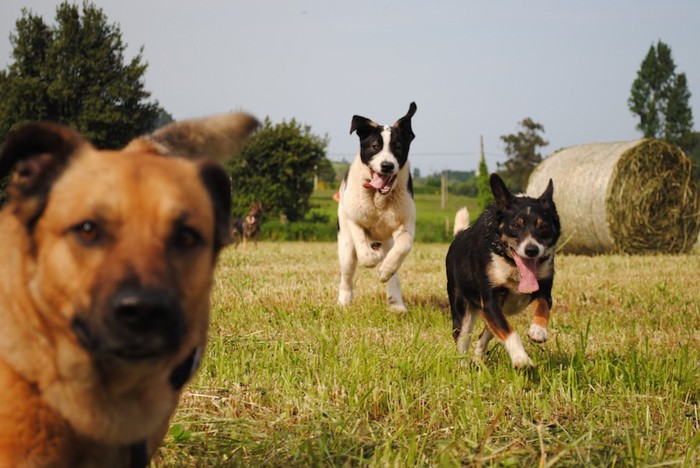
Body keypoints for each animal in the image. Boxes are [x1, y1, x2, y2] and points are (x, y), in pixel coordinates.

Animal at [338, 101, 416, 310]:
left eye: (398, 147)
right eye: (375, 146)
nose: (387, 166)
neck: (379, 198)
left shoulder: (405, 223)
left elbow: (404, 245)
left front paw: (385, 269)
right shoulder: (354, 219)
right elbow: (363, 249)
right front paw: (372, 259)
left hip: (387, 241)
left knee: (393, 274)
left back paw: (396, 304)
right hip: (345, 246)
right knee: (346, 276)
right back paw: (343, 302)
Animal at [446, 174, 560, 368]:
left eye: (543, 226)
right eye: (515, 225)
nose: (531, 250)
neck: (512, 265)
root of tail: (458, 236)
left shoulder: (544, 287)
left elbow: (544, 304)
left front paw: (538, 330)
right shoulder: (491, 302)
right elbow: (511, 333)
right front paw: (522, 359)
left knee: (483, 336)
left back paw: (478, 359)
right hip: (463, 309)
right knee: (462, 339)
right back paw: (464, 366)